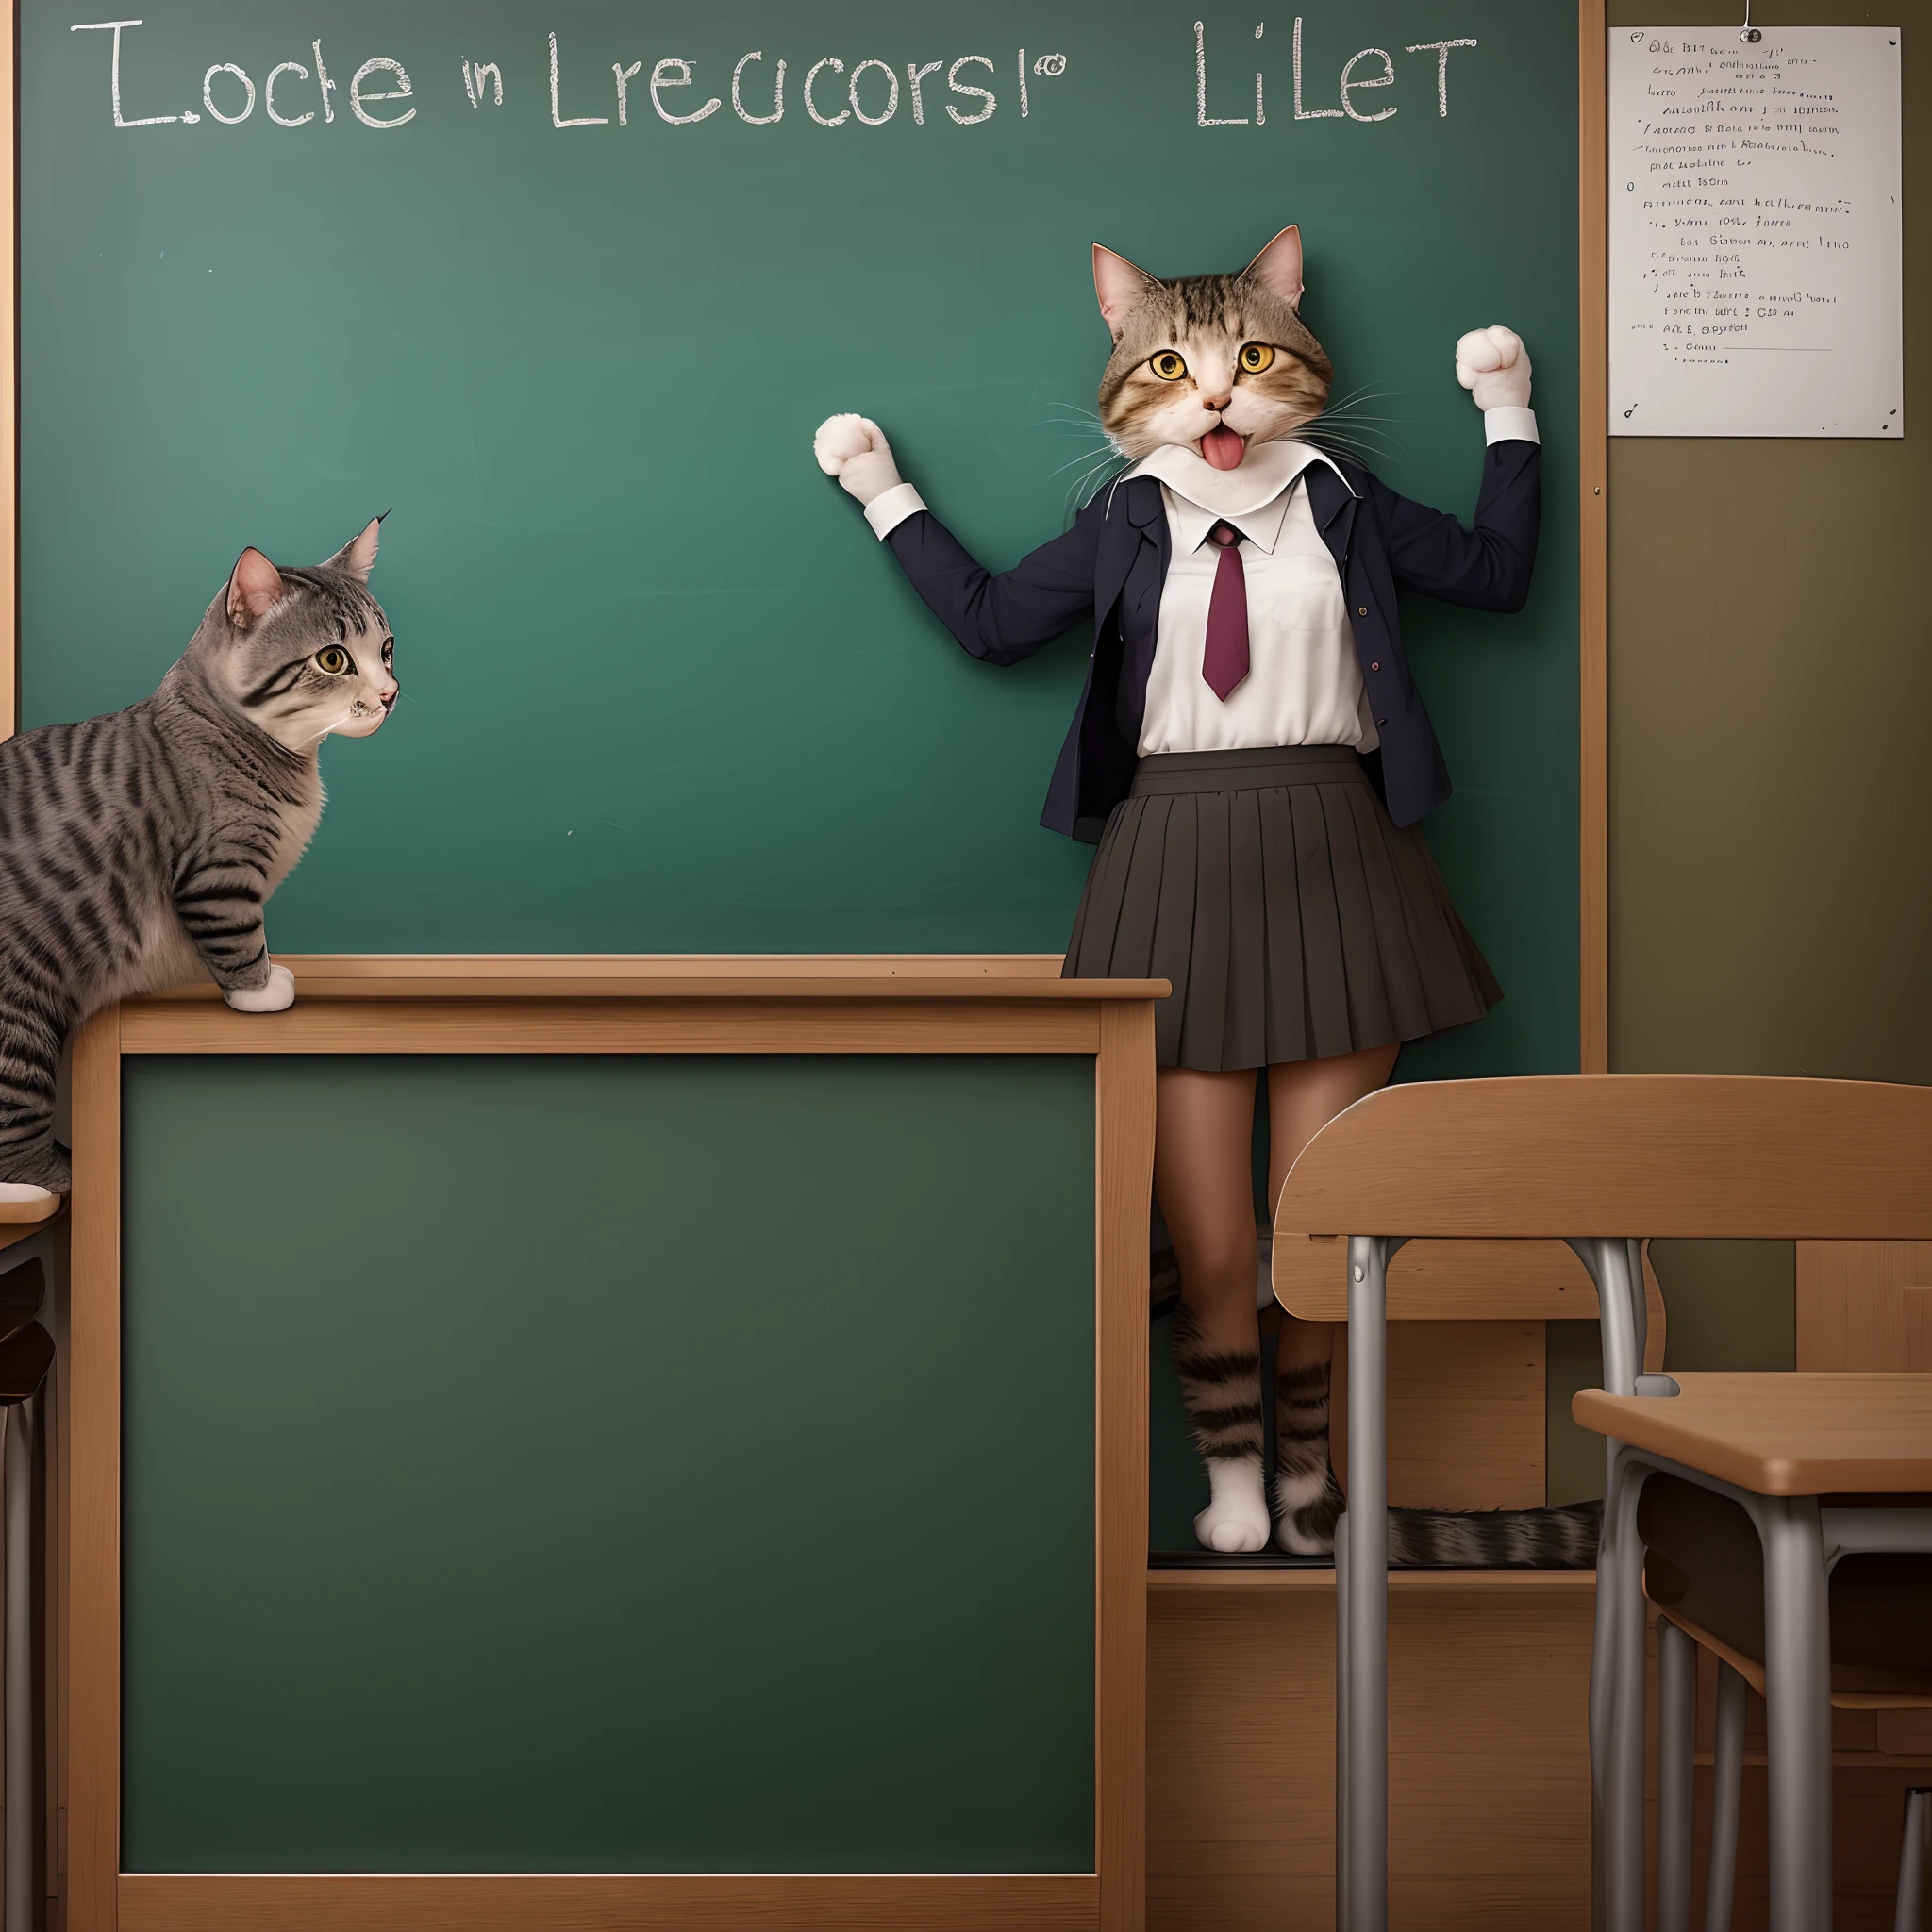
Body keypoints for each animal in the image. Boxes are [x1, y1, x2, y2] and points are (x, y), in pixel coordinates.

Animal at [0, 521, 397, 1197]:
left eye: (388, 650)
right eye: (334, 659)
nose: (391, 694)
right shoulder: (217, 871)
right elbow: (237, 936)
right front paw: (260, 990)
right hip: (19, 1012)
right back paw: (36, 1183)